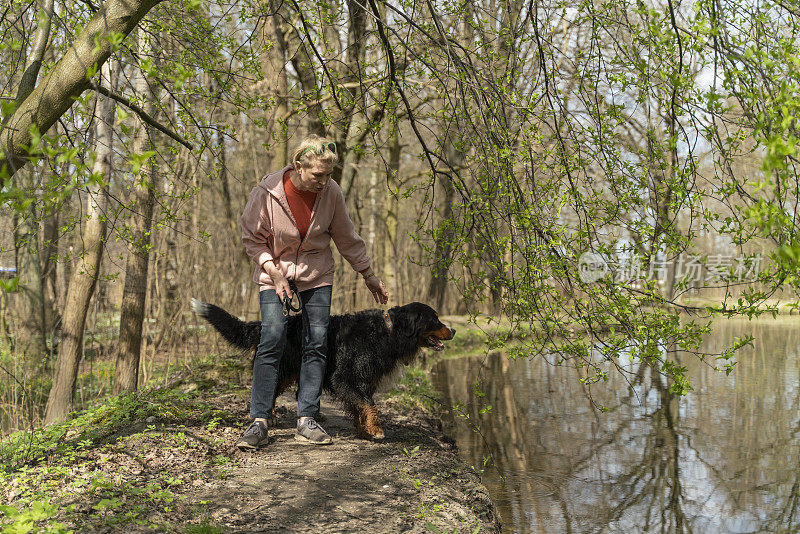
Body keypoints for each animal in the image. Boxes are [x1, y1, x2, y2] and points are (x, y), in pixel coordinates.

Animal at [192, 302, 456, 444]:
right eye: (435, 318)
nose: (453, 330)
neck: (388, 332)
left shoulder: (362, 379)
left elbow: (360, 406)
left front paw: (363, 430)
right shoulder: (347, 377)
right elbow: (368, 404)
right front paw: (376, 429)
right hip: (284, 365)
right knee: (269, 387)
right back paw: (270, 417)